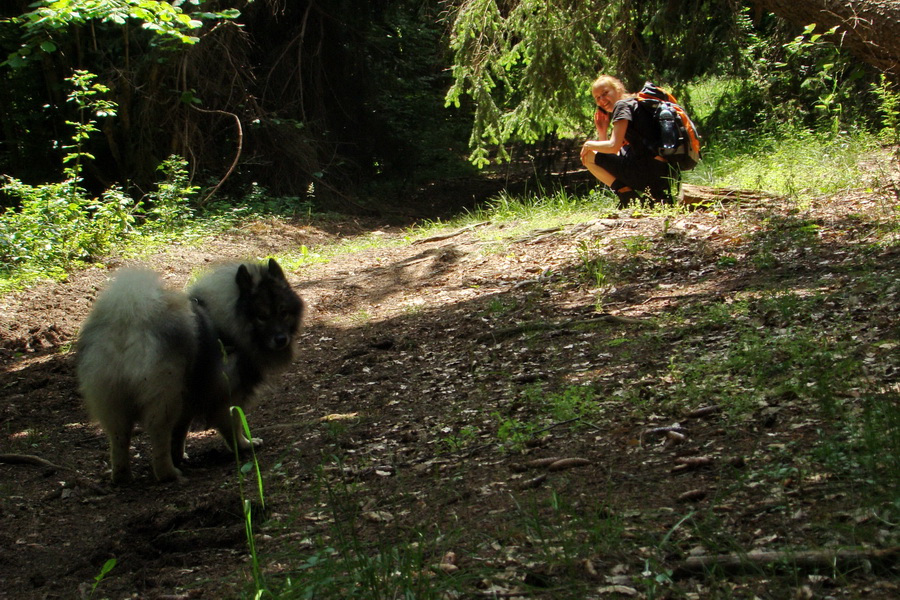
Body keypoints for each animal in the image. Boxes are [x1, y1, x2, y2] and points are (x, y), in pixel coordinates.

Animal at [78, 258, 302, 482]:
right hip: (165, 398)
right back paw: (168, 473)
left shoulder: (188, 400)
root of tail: (127, 326)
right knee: (159, 436)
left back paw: (122, 475)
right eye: (261, 316)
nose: (281, 339)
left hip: (116, 403)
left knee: (119, 439)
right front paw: (244, 445)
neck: (228, 321)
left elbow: (180, 432)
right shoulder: (228, 396)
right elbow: (234, 425)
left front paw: (179, 455)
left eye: (284, 313)